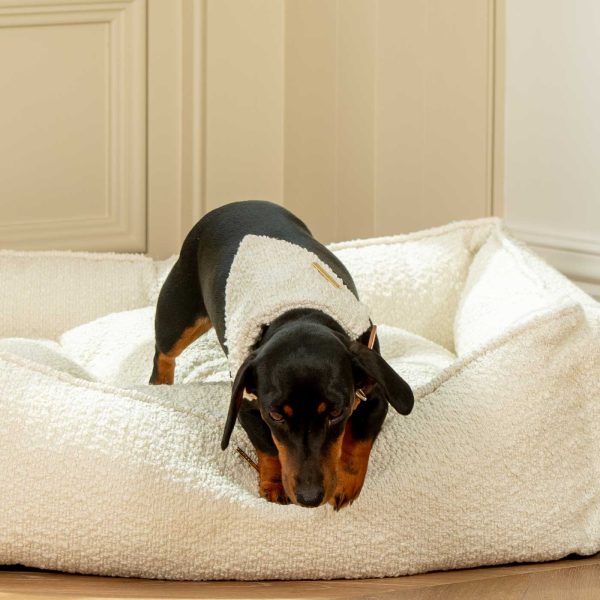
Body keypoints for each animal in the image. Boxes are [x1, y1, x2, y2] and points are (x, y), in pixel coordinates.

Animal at [149, 199, 412, 508]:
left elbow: (357, 440)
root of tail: (238, 203)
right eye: (275, 415)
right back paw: (160, 384)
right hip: (178, 315)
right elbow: (268, 447)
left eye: (337, 411)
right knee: (163, 354)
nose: (310, 498)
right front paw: (274, 484)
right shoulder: (248, 404)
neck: (300, 312)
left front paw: (345, 483)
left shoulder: (375, 395)